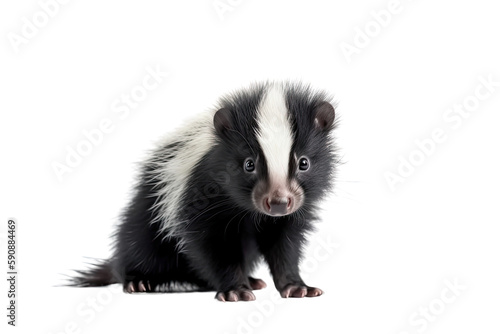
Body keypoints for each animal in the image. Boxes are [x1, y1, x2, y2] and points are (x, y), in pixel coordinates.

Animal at [71, 81, 336, 302]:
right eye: (249, 164)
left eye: (304, 163)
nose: (279, 202)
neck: (248, 210)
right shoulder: (200, 193)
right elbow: (213, 245)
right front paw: (235, 290)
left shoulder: (292, 213)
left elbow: (284, 245)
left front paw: (297, 287)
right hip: (144, 221)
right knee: (136, 245)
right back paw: (138, 281)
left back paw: (251, 280)